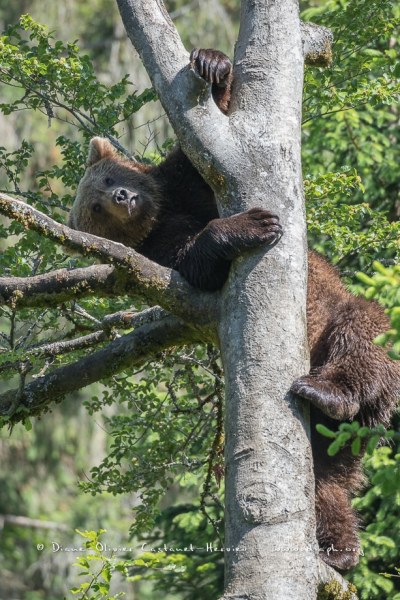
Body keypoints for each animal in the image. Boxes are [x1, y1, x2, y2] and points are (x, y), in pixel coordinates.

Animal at [69, 49, 400, 568]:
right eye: (97, 207)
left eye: (110, 178)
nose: (122, 196)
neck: (160, 211)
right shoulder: (161, 252)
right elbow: (196, 260)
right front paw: (252, 224)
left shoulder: (185, 183)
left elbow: (206, 145)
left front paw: (212, 65)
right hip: (332, 438)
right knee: (324, 479)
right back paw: (337, 538)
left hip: (345, 314)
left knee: (359, 335)